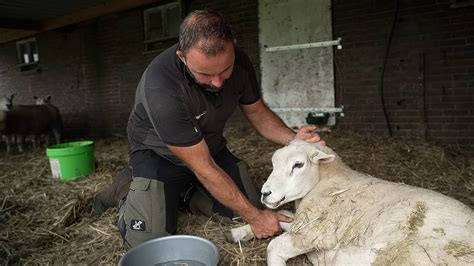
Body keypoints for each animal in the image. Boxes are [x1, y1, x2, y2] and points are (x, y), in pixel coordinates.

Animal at [226, 140, 474, 264]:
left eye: (298, 164)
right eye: (273, 163)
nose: (265, 193)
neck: (330, 180)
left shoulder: (316, 232)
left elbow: (274, 246)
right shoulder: (306, 223)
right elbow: (282, 217)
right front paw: (238, 232)